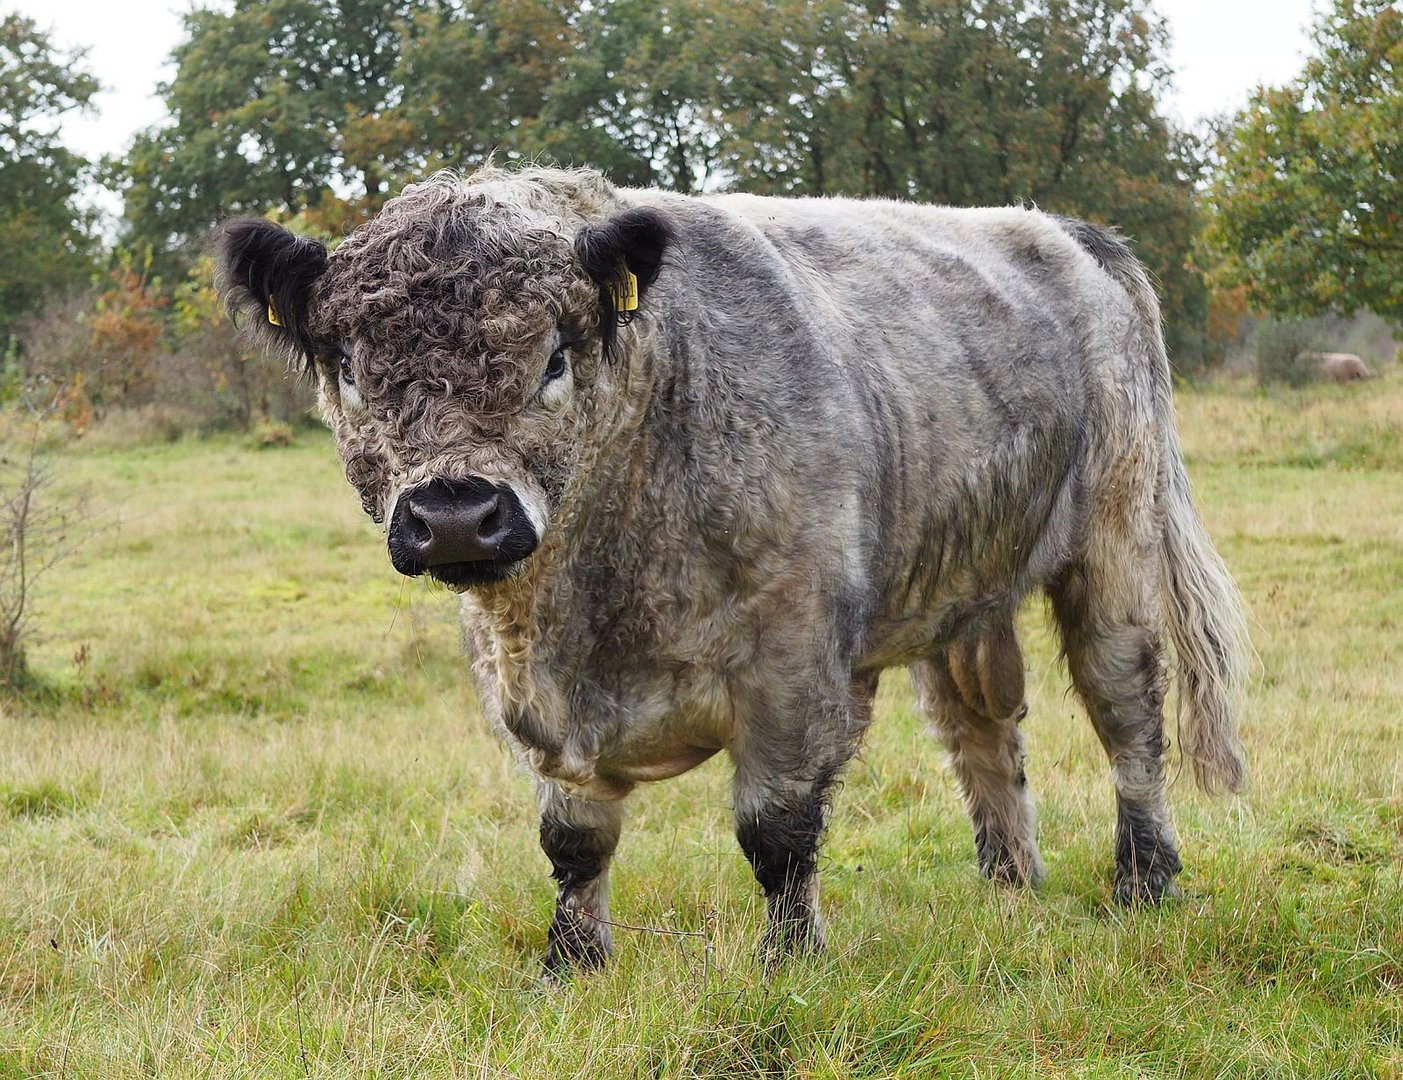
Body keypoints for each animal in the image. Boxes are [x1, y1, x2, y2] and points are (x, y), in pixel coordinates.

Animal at [213, 164, 1245, 970]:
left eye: (555, 357)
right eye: (349, 369)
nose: (456, 515)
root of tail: (1058, 229)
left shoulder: (791, 664)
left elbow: (775, 831)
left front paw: (790, 961)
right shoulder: (528, 692)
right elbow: (573, 841)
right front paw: (571, 964)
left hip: (1114, 549)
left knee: (1127, 715)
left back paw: (1143, 881)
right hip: (956, 593)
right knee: (982, 736)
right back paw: (1007, 889)